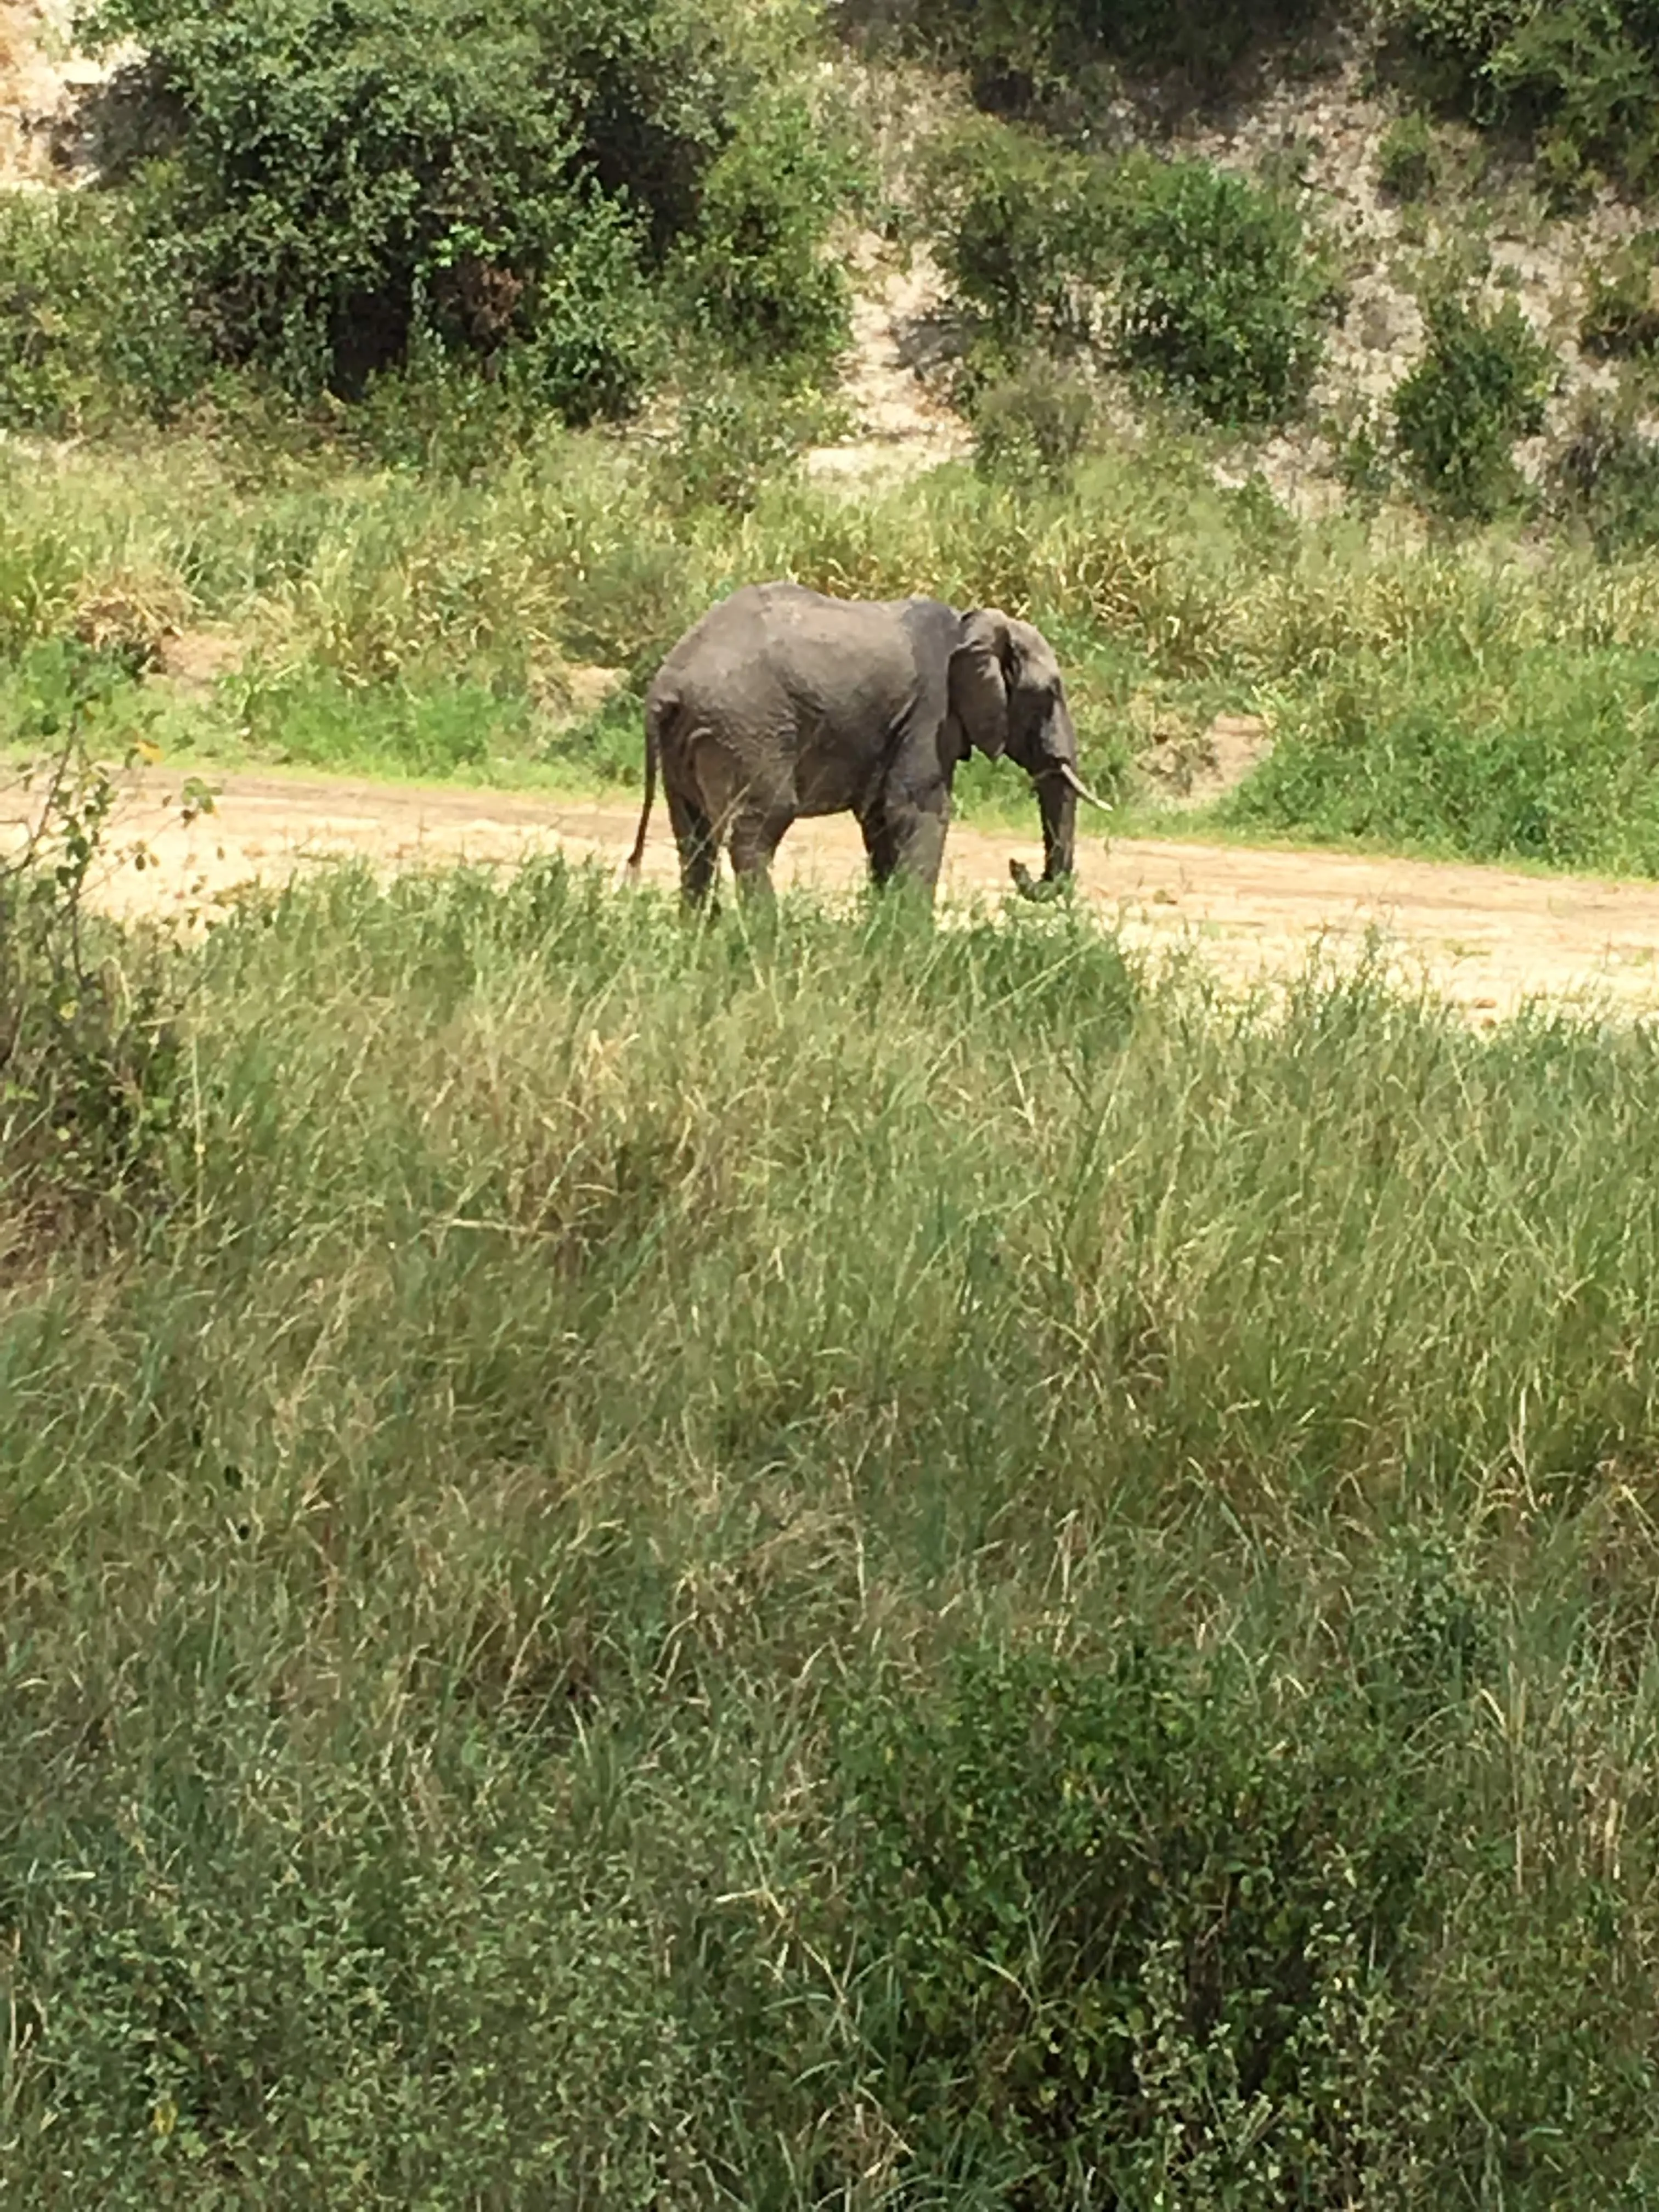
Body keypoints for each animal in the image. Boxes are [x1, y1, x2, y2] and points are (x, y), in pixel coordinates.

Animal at [623, 581, 1107, 908]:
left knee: (694, 840)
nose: (1017, 867)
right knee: (756, 830)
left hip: (689, 746)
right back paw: (767, 935)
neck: (974, 623)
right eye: (1048, 694)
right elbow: (918, 810)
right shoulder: (930, 713)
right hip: (747, 730)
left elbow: (880, 819)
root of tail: (665, 688)